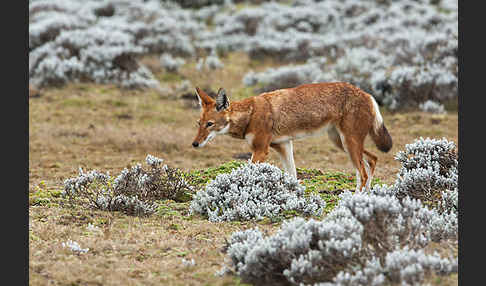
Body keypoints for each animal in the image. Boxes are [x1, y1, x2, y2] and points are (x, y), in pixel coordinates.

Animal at [192, 81, 392, 191]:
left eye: (210, 124)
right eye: (199, 124)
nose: (195, 144)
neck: (251, 113)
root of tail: (367, 94)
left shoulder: (261, 150)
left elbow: (247, 174)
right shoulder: (284, 146)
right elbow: (292, 176)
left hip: (348, 144)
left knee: (363, 173)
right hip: (341, 143)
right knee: (372, 160)